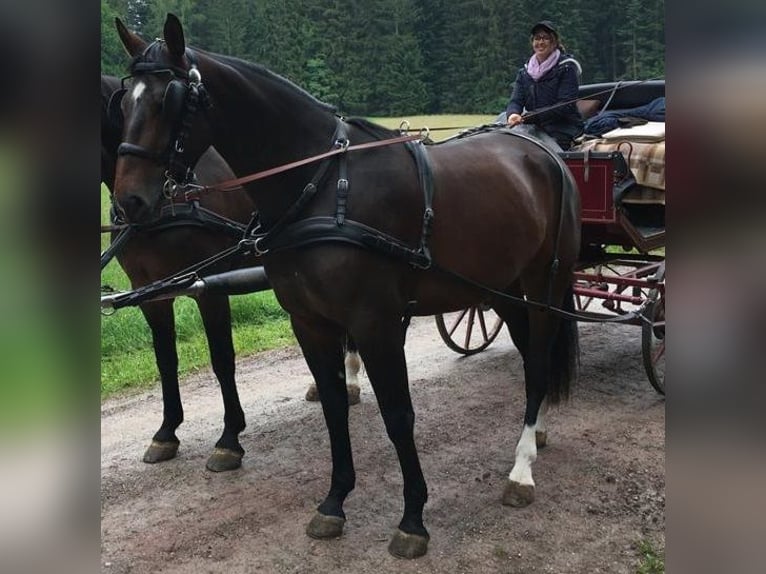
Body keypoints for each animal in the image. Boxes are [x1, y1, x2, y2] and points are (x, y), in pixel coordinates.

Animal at [102, 74, 362, 471]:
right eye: (125, 107)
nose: (129, 201)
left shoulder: (208, 286)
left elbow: (222, 359)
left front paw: (229, 439)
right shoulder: (150, 290)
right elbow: (165, 360)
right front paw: (166, 432)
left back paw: (348, 379)